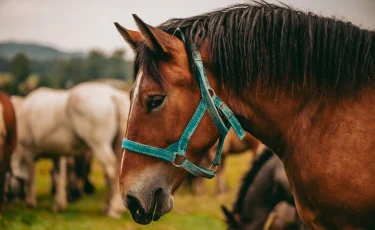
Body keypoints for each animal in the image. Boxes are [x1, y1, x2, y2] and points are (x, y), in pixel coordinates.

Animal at [11, 82, 131, 217]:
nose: (12, 198)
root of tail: (113, 95)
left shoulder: (28, 152)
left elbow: (31, 178)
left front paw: (30, 203)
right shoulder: (57, 154)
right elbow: (58, 177)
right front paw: (59, 205)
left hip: (99, 146)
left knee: (111, 172)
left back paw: (112, 209)